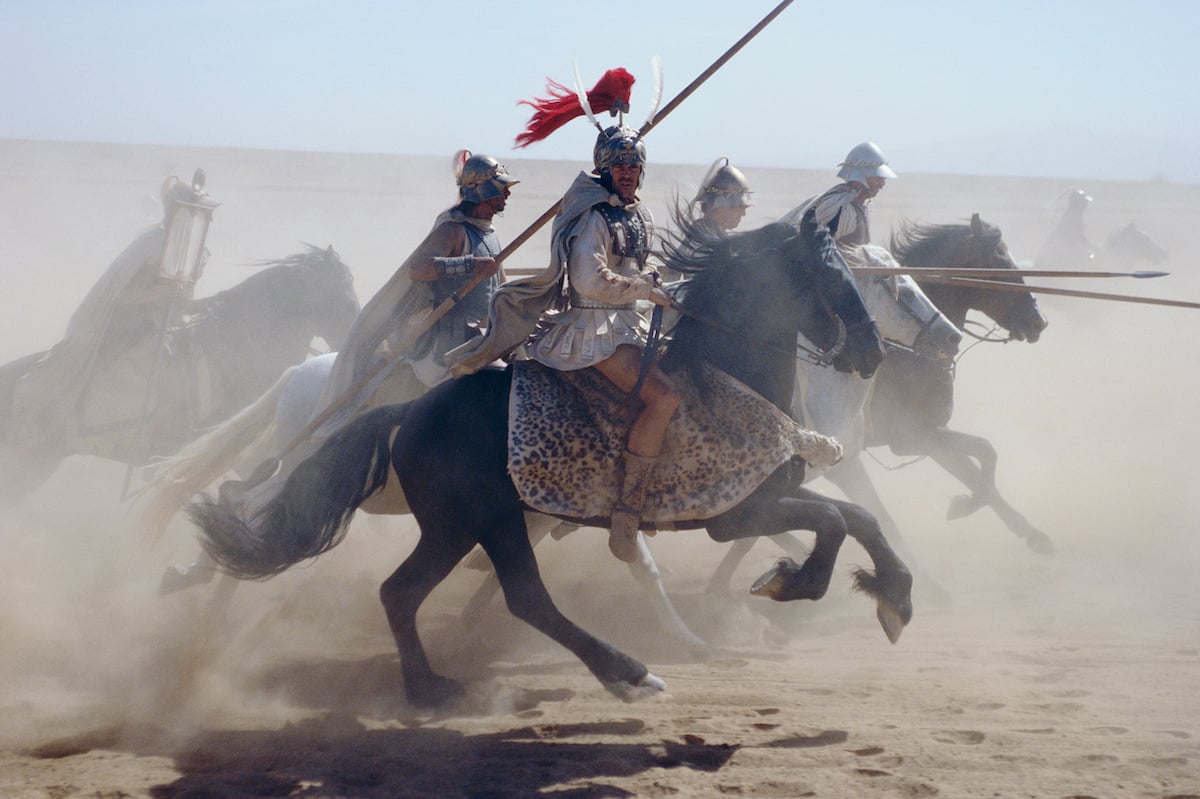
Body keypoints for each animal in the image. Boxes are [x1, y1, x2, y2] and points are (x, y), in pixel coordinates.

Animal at [187, 211, 912, 705]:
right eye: (832, 275)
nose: (873, 351)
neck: (725, 373)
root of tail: (406, 413)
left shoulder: (766, 497)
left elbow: (860, 520)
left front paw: (895, 599)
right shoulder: (734, 513)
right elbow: (836, 522)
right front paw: (791, 582)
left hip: (454, 527)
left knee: (401, 591)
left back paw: (430, 687)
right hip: (491, 519)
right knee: (525, 597)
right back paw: (629, 672)